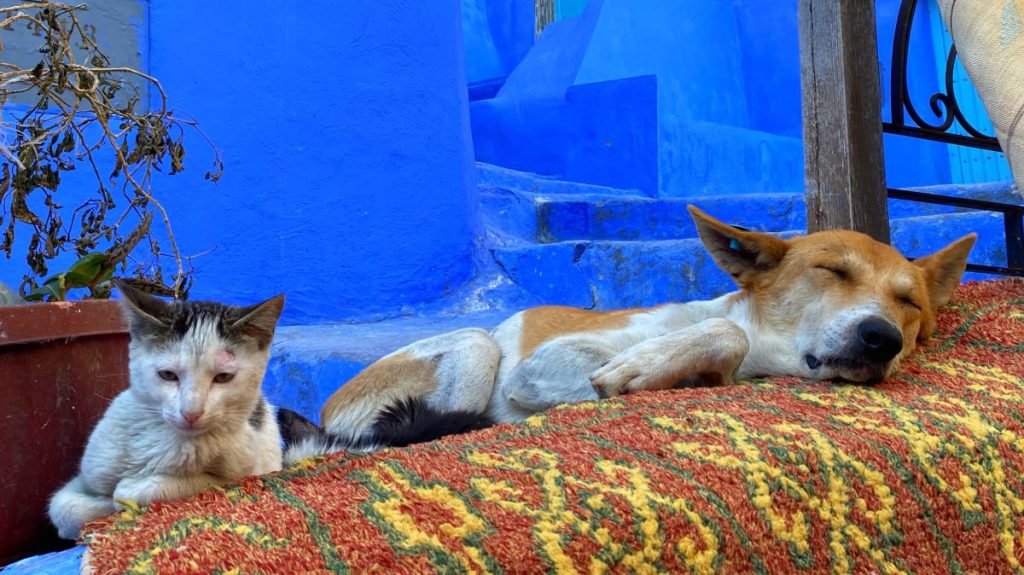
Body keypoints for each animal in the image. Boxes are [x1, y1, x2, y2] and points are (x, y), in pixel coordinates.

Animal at [49, 280, 284, 540]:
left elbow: (204, 481)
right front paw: (102, 507)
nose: (191, 412)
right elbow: (63, 508)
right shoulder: (88, 474)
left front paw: (126, 495)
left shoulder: (247, 469)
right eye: (168, 375)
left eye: (223, 377)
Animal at [280, 205, 974, 460]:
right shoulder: (544, 364)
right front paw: (645, 368)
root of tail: (325, 411)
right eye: (832, 270)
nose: (882, 338)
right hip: (475, 346)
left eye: (909, 303)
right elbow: (720, 335)